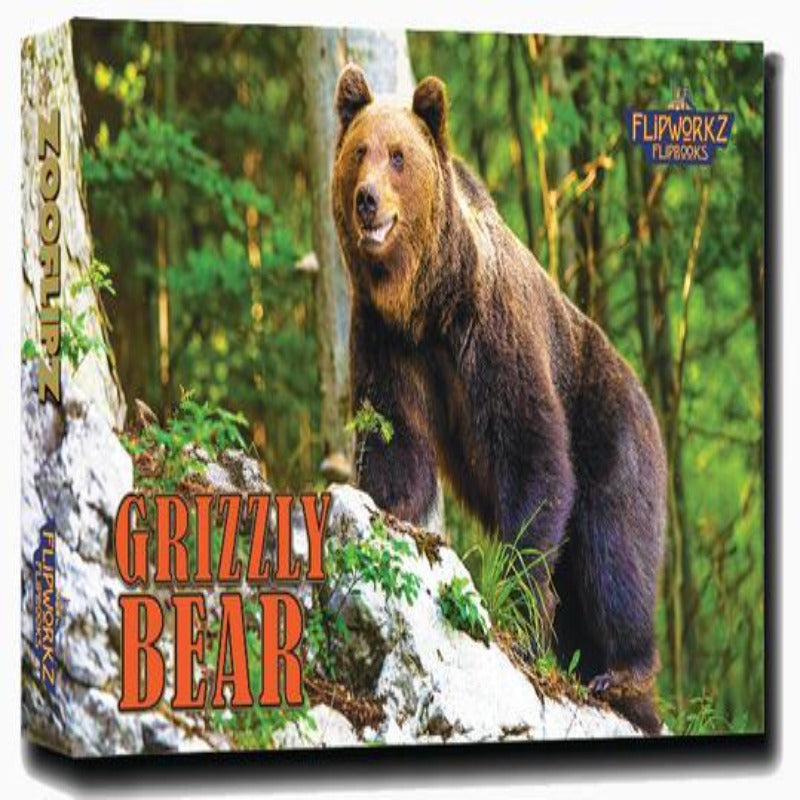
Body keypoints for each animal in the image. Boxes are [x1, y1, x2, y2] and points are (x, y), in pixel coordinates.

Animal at [331, 64, 667, 734]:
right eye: (359, 152)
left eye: (398, 156)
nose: (367, 199)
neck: (425, 300)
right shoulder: (388, 342)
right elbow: (395, 442)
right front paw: (390, 512)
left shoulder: (490, 332)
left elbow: (531, 454)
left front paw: (514, 606)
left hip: (611, 426)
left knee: (614, 552)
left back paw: (622, 677)